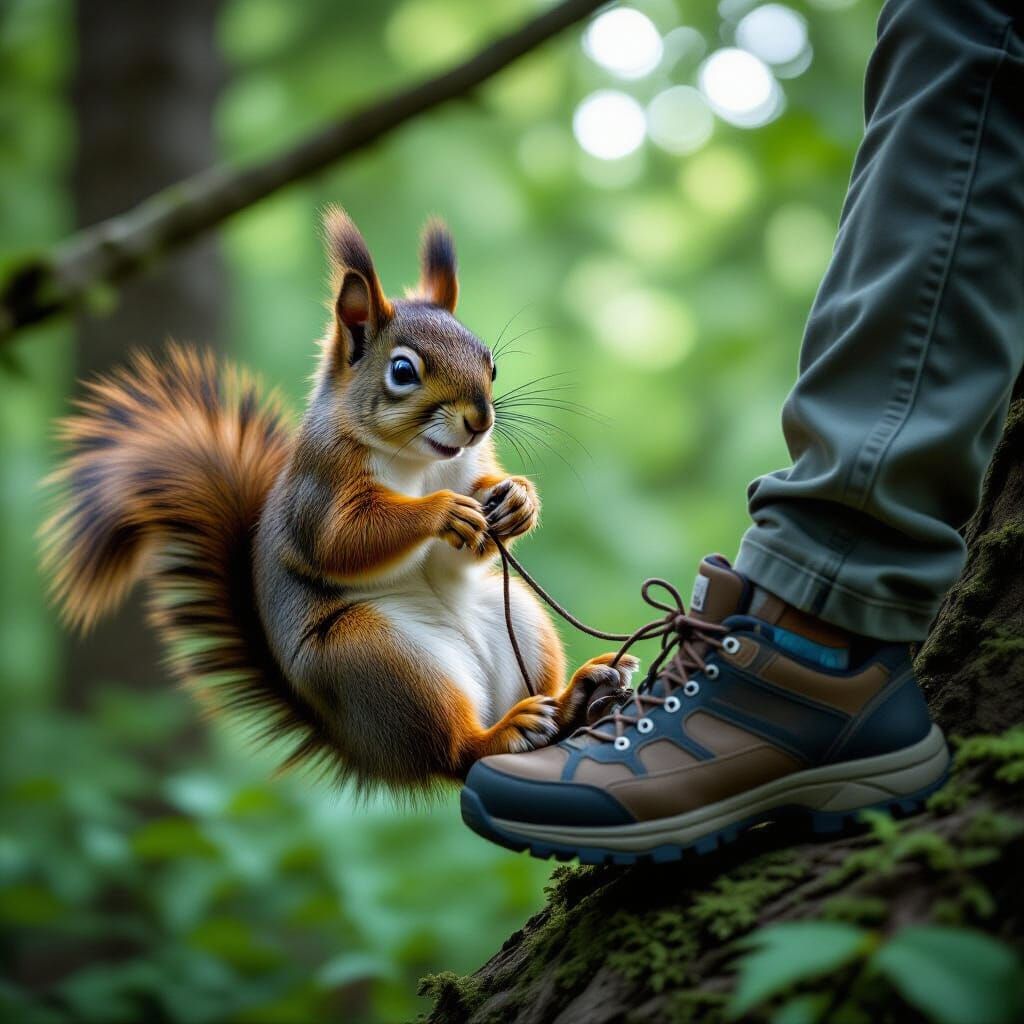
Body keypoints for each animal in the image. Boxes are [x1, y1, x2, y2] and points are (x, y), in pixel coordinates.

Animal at [40, 207, 638, 792]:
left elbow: (466, 538)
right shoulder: (320, 489)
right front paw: (443, 511)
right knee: (459, 751)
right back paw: (505, 731)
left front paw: (516, 501)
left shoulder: (469, 466)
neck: (420, 462)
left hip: (515, 621)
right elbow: (341, 540)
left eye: (491, 363)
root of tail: (368, 750)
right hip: (379, 661)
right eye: (403, 371)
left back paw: (577, 696)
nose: (479, 420)